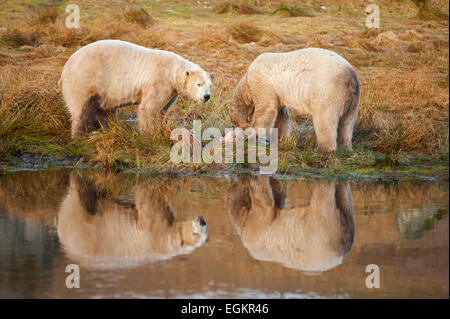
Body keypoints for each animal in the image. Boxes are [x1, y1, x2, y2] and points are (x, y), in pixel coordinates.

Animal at [55, 174, 207, 268]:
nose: (202, 221)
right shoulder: (155, 230)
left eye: (205, 236)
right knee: (81, 197)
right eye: (195, 234)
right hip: (78, 221)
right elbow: (148, 201)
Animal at [59, 39, 214, 138]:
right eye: (198, 84)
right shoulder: (159, 80)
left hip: (103, 91)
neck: (172, 70)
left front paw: (160, 128)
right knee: (81, 110)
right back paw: (78, 135)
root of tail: (65, 69)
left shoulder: (172, 91)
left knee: (105, 110)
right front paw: (150, 134)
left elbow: (163, 109)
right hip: (83, 80)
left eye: (210, 85)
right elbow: (149, 108)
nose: (206, 96)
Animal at [229, 48, 358, 152]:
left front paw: (253, 135)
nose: (235, 131)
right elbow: (281, 116)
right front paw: (281, 138)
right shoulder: (278, 94)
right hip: (351, 98)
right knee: (347, 122)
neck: (247, 82)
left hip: (327, 91)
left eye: (233, 124)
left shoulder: (262, 83)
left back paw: (324, 148)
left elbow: (266, 108)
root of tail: (349, 74)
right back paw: (346, 147)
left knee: (325, 119)